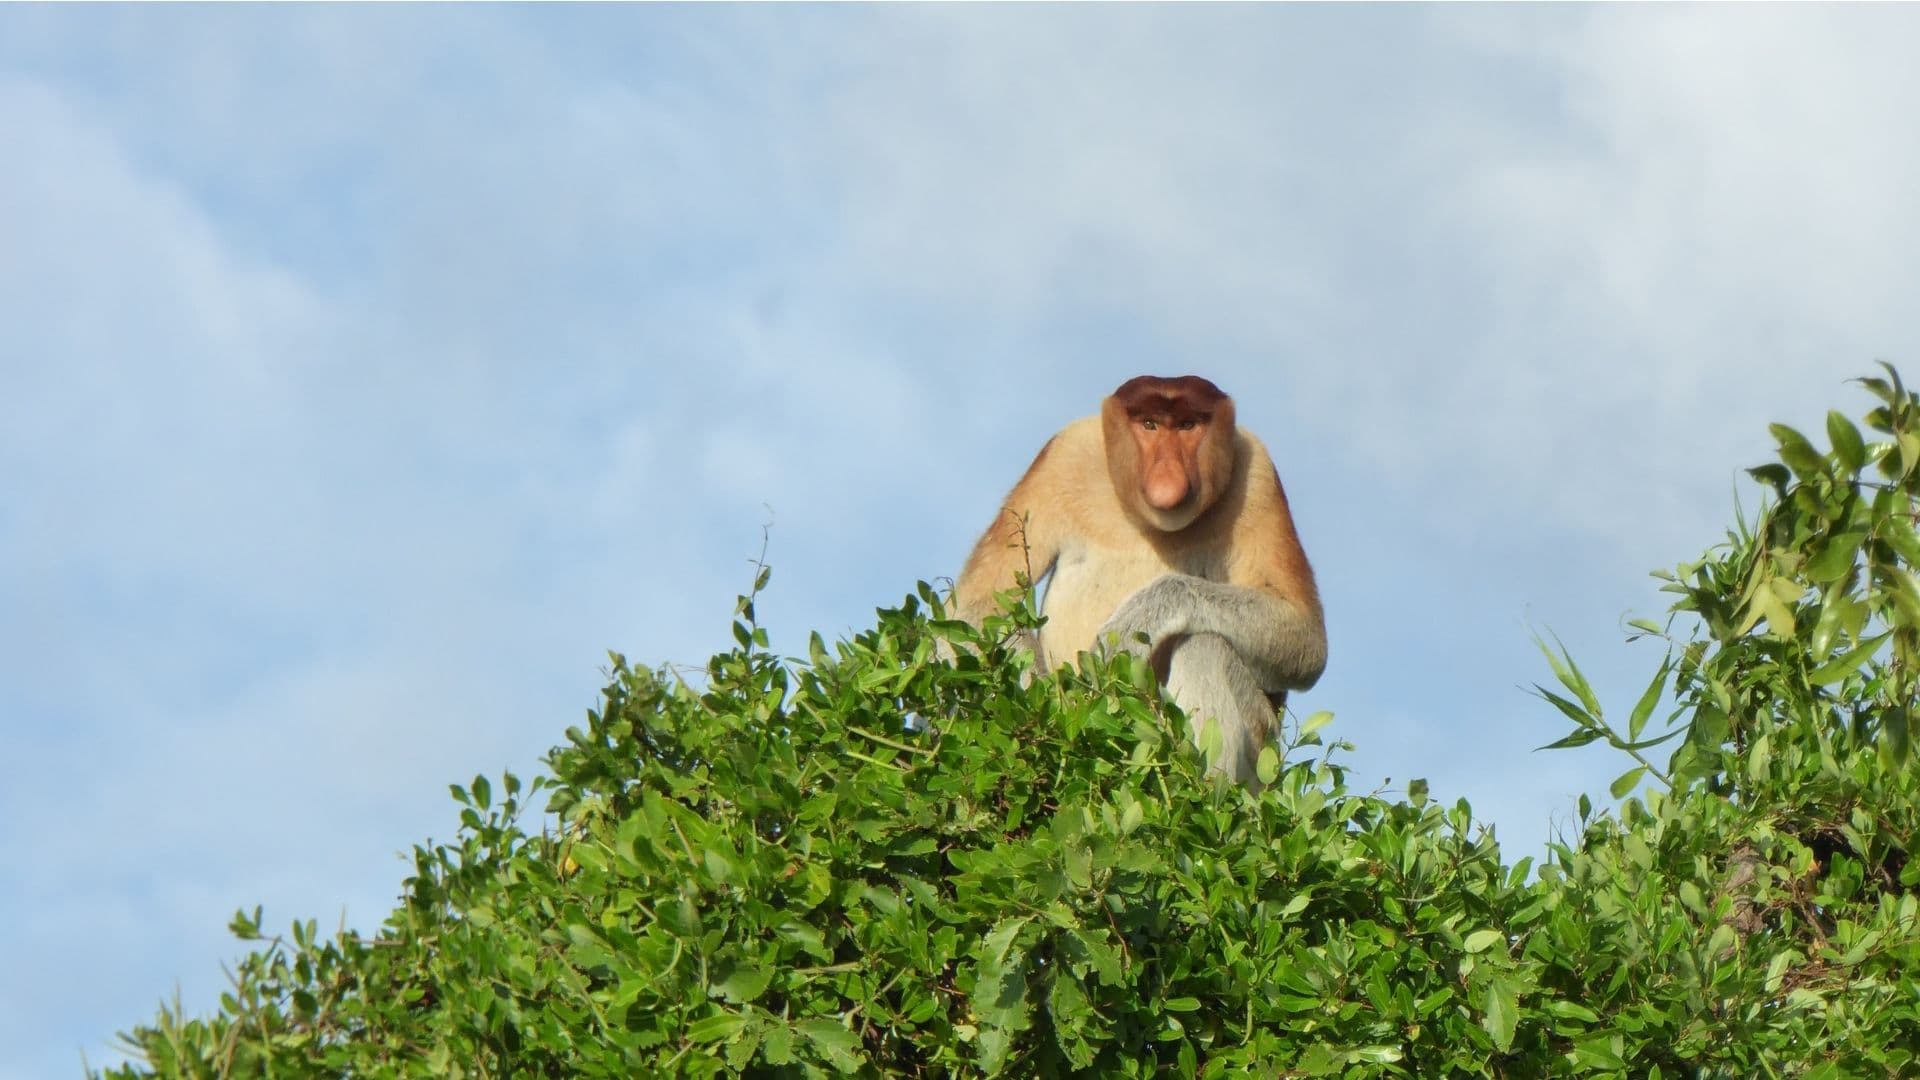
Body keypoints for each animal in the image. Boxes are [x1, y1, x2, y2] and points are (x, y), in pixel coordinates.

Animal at [952, 374, 1328, 787]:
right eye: (1149, 424)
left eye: (1188, 426)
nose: (1167, 472)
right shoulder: (1063, 452)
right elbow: (978, 602)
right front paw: (1047, 721)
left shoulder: (1258, 474)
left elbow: (1307, 638)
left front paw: (1132, 627)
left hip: (1261, 754)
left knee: (1204, 645)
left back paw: (1199, 786)